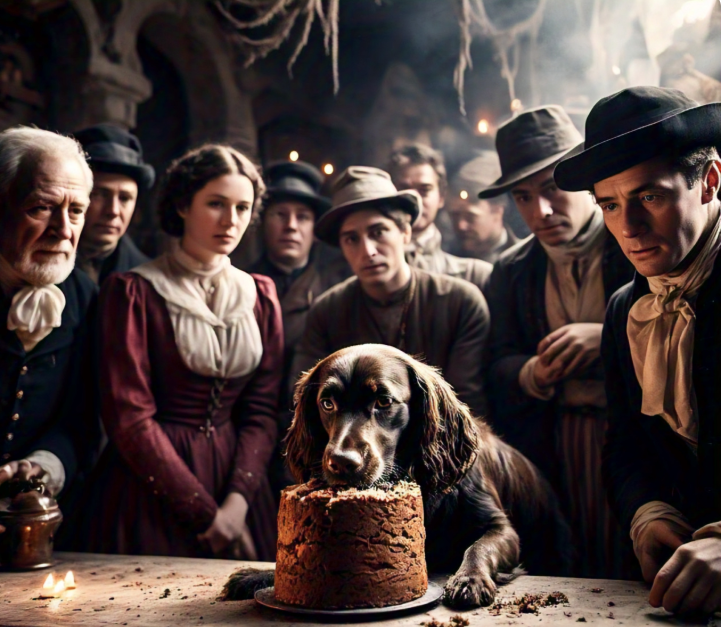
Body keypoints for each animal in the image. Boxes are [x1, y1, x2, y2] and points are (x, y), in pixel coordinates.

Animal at [284, 344, 572, 608]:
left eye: (383, 402)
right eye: (327, 404)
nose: (342, 462)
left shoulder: (501, 528)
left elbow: (478, 547)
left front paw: (469, 580)